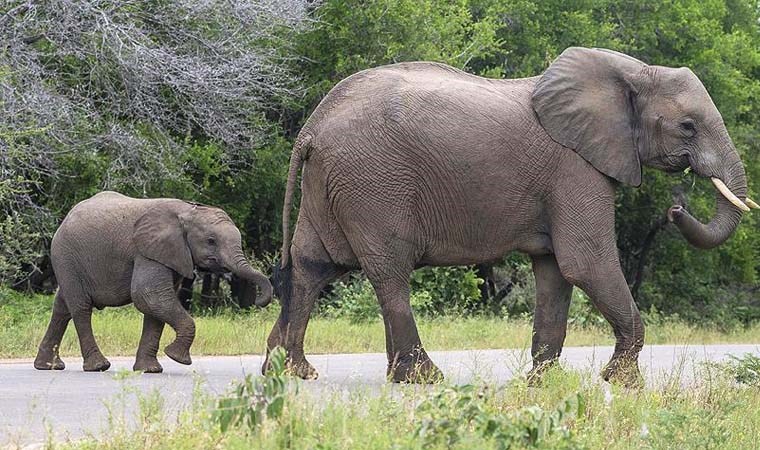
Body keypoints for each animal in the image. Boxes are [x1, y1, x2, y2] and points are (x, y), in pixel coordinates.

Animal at [36, 192, 274, 372]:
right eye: (211, 241)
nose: (259, 301)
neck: (187, 211)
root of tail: (66, 217)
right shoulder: (147, 251)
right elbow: (148, 296)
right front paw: (177, 358)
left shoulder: (171, 255)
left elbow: (155, 306)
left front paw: (150, 370)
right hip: (66, 255)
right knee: (81, 307)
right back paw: (98, 366)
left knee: (62, 307)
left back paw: (48, 366)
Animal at [268, 47, 756, 384]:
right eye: (688, 126)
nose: (675, 209)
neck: (631, 72)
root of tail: (312, 127)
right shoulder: (575, 168)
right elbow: (586, 263)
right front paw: (623, 384)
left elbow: (556, 272)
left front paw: (541, 383)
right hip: (373, 183)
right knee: (389, 273)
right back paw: (421, 379)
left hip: (330, 184)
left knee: (312, 266)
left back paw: (289, 370)